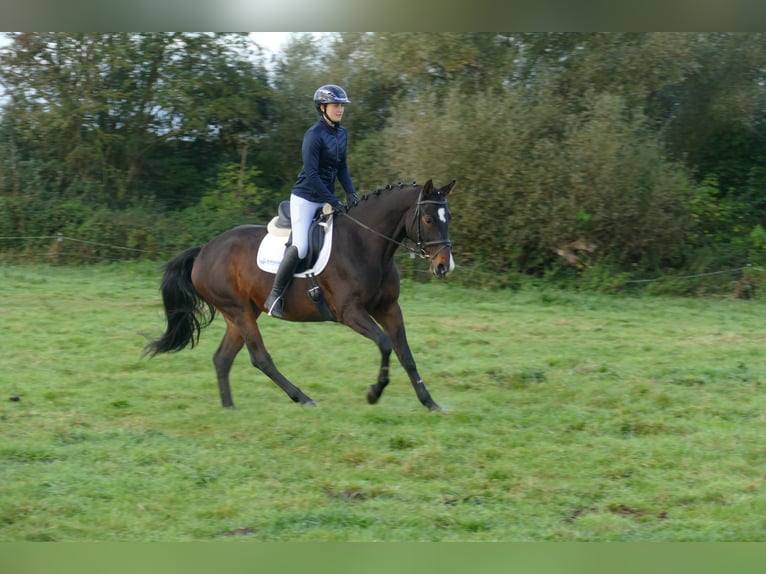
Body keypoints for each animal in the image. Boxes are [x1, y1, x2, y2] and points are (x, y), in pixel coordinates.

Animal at [144, 179, 456, 412]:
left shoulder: (389, 308)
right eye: (428, 218)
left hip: (242, 313)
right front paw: (374, 392)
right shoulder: (349, 312)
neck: (366, 244)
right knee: (260, 357)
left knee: (223, 358)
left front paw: (430, 403)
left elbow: (405, 354)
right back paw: (303, 398)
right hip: (239, 311)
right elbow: (385, 343)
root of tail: (204, 251)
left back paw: (229, 407)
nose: (444, 266)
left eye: (448, 218)